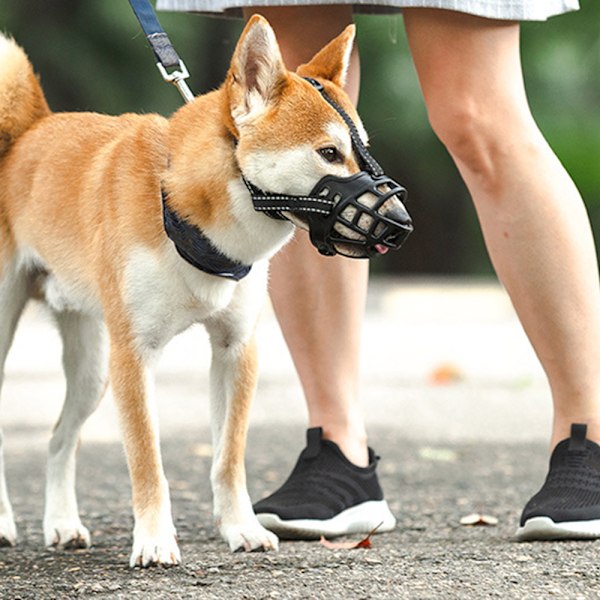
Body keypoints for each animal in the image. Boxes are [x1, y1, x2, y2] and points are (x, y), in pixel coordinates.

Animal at [0, 15, 410, 568]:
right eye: (329, 153)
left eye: (365, 152)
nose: (400, 222)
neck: (179, 207)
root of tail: (29, 132)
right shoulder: (134, 357)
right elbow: (147, 460)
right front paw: (154, 540)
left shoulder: (236, 350)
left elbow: (228, 458)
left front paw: (241, 529)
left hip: (92, 370)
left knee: (59, 439)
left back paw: (63, 523)